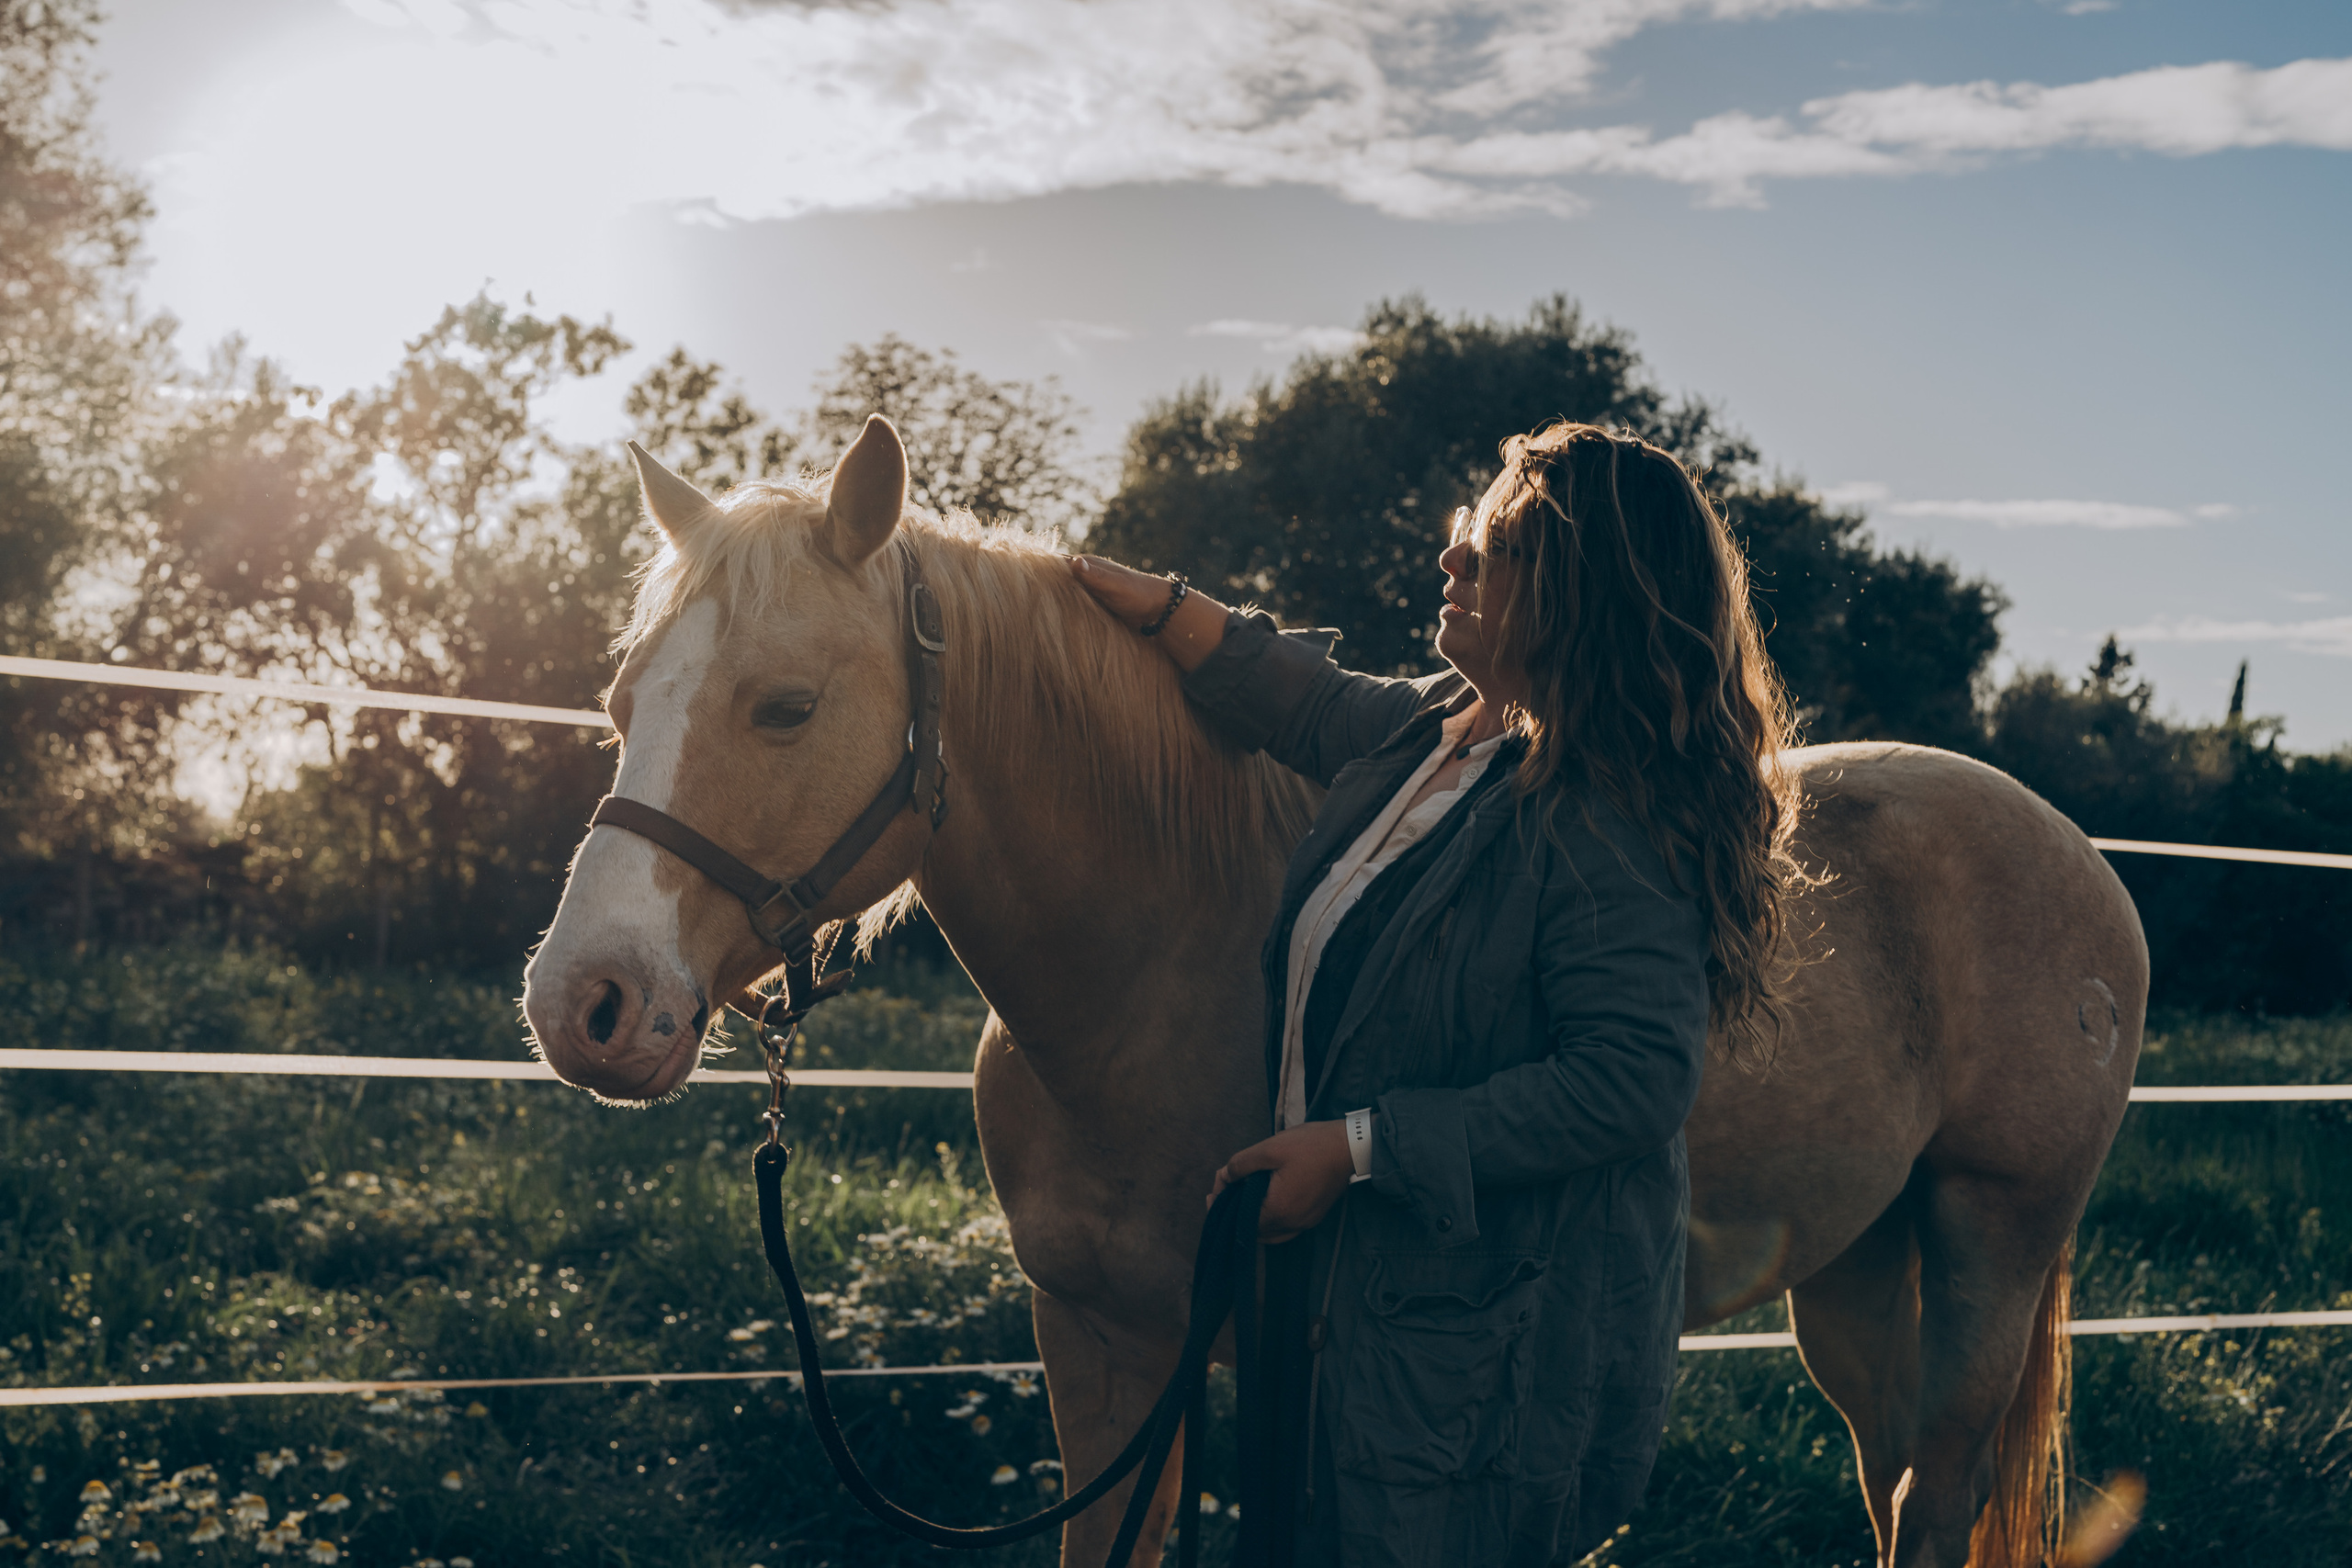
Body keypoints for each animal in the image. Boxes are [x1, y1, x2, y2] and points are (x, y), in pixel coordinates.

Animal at [521, 418, 2148, 1568]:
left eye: (785, 705)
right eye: (620, 701)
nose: (583, 1000)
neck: (1153, 978)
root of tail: (2078, 851)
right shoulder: (1096, 1340)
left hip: (1992, 1237)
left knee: (1940, 1490)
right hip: (1857, 1263)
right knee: (1893, 1481)